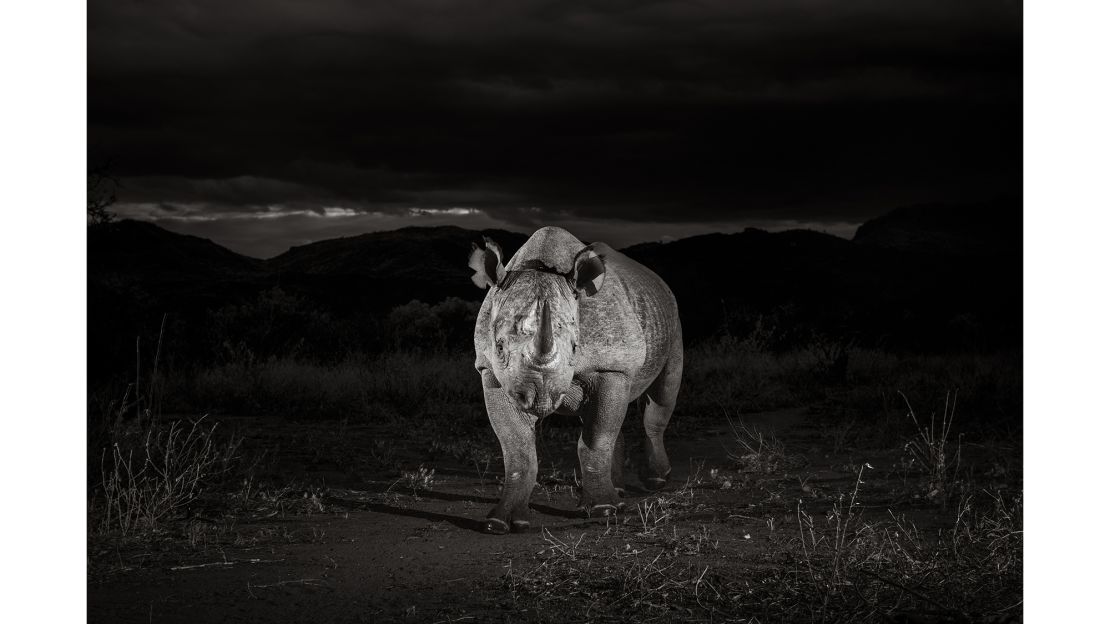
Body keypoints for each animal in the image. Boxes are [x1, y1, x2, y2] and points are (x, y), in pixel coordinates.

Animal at [466, 225, 679, 532]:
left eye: (576, 348)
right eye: (500, 347)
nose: (540, 397)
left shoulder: (611, 367)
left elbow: (596, 438)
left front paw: (603, 510)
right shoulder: (492, 373)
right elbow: (517, 448)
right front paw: (500, 522)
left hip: (670, 315)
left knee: (662, 395)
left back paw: (654, 482)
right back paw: (620, 493)